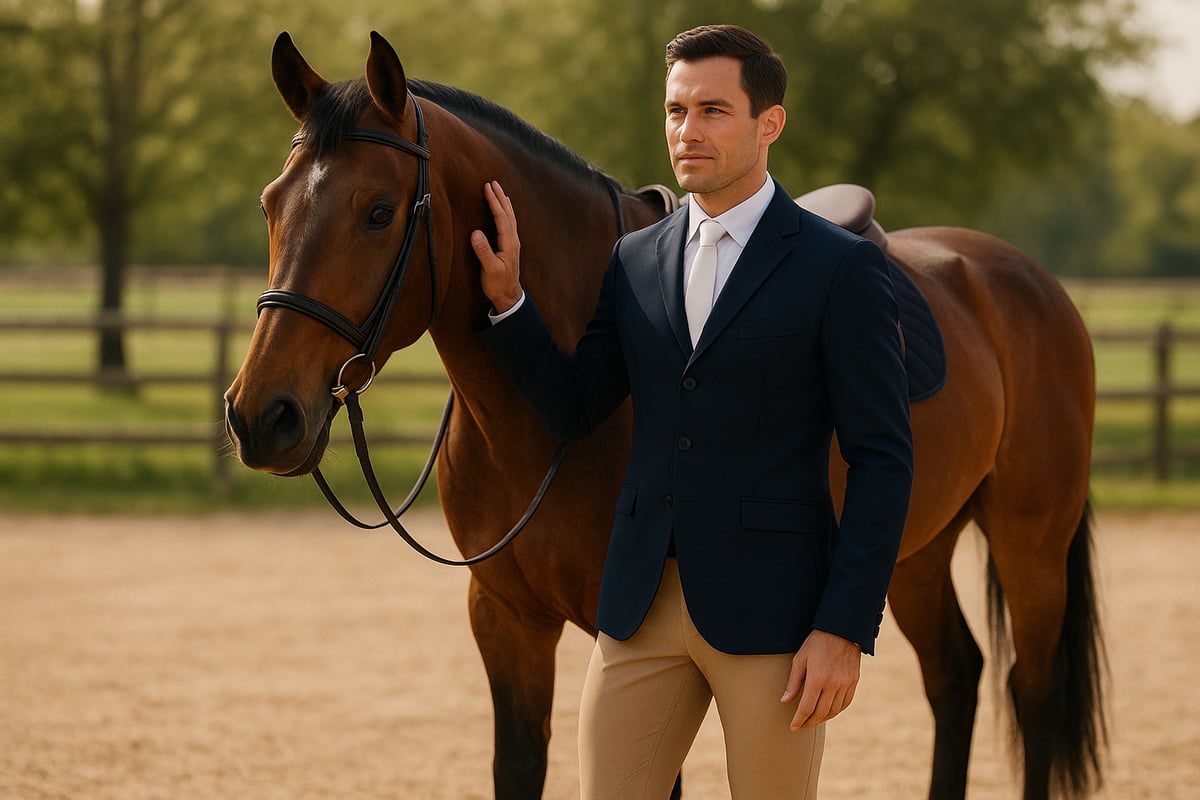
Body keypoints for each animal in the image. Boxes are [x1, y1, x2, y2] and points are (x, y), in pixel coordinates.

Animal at [224, 31, 1104, 800]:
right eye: (270, 205)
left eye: (377, 211)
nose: (261, 416)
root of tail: (1020, 276)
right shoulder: (506, 620)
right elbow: (520, 766)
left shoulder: (633, 630)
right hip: (909, 550)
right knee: (956, 676)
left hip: (1030, 543)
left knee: (1032, 692)